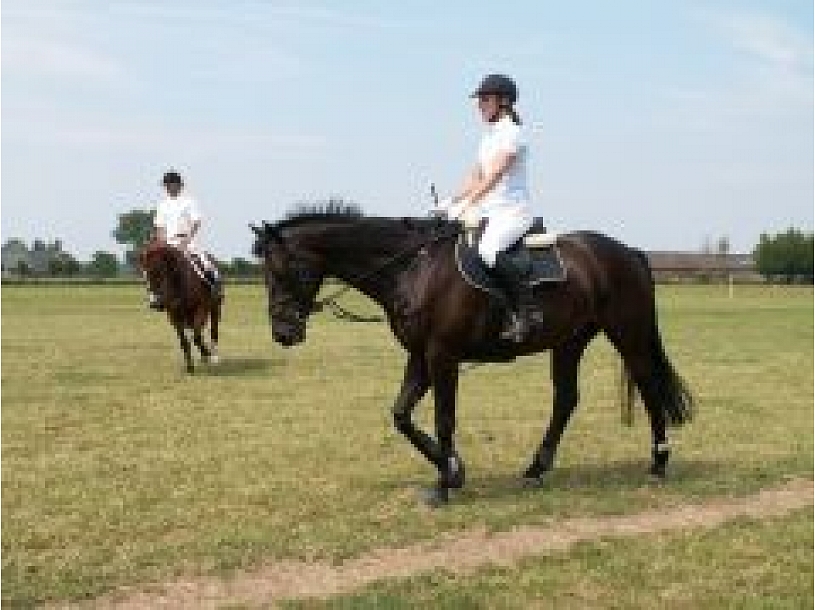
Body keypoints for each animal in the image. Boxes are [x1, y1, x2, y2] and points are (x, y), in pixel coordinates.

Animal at [139, 240, 223, 373]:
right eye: (145, 274)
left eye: (159, 272)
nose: (155, 303)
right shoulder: (174, 315)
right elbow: (184, 341)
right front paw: (190, 366)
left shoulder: (201, 308)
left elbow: (197, 336)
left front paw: (207, 354)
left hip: (214, 307)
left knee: (213, 330)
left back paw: (213, 356)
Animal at [251, 204, 693, 506]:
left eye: (284, 270)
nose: (283, 333)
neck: (414, 269)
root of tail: (628, 251)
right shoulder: (420, 356)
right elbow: (402, 415)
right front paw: (454, 470)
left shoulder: (442, 356)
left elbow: (443, 418)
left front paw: (444, 485)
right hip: (569, 342)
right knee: (566, 399)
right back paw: (536, 469)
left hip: (628, 335)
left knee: (649, 388)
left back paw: (658, 463)